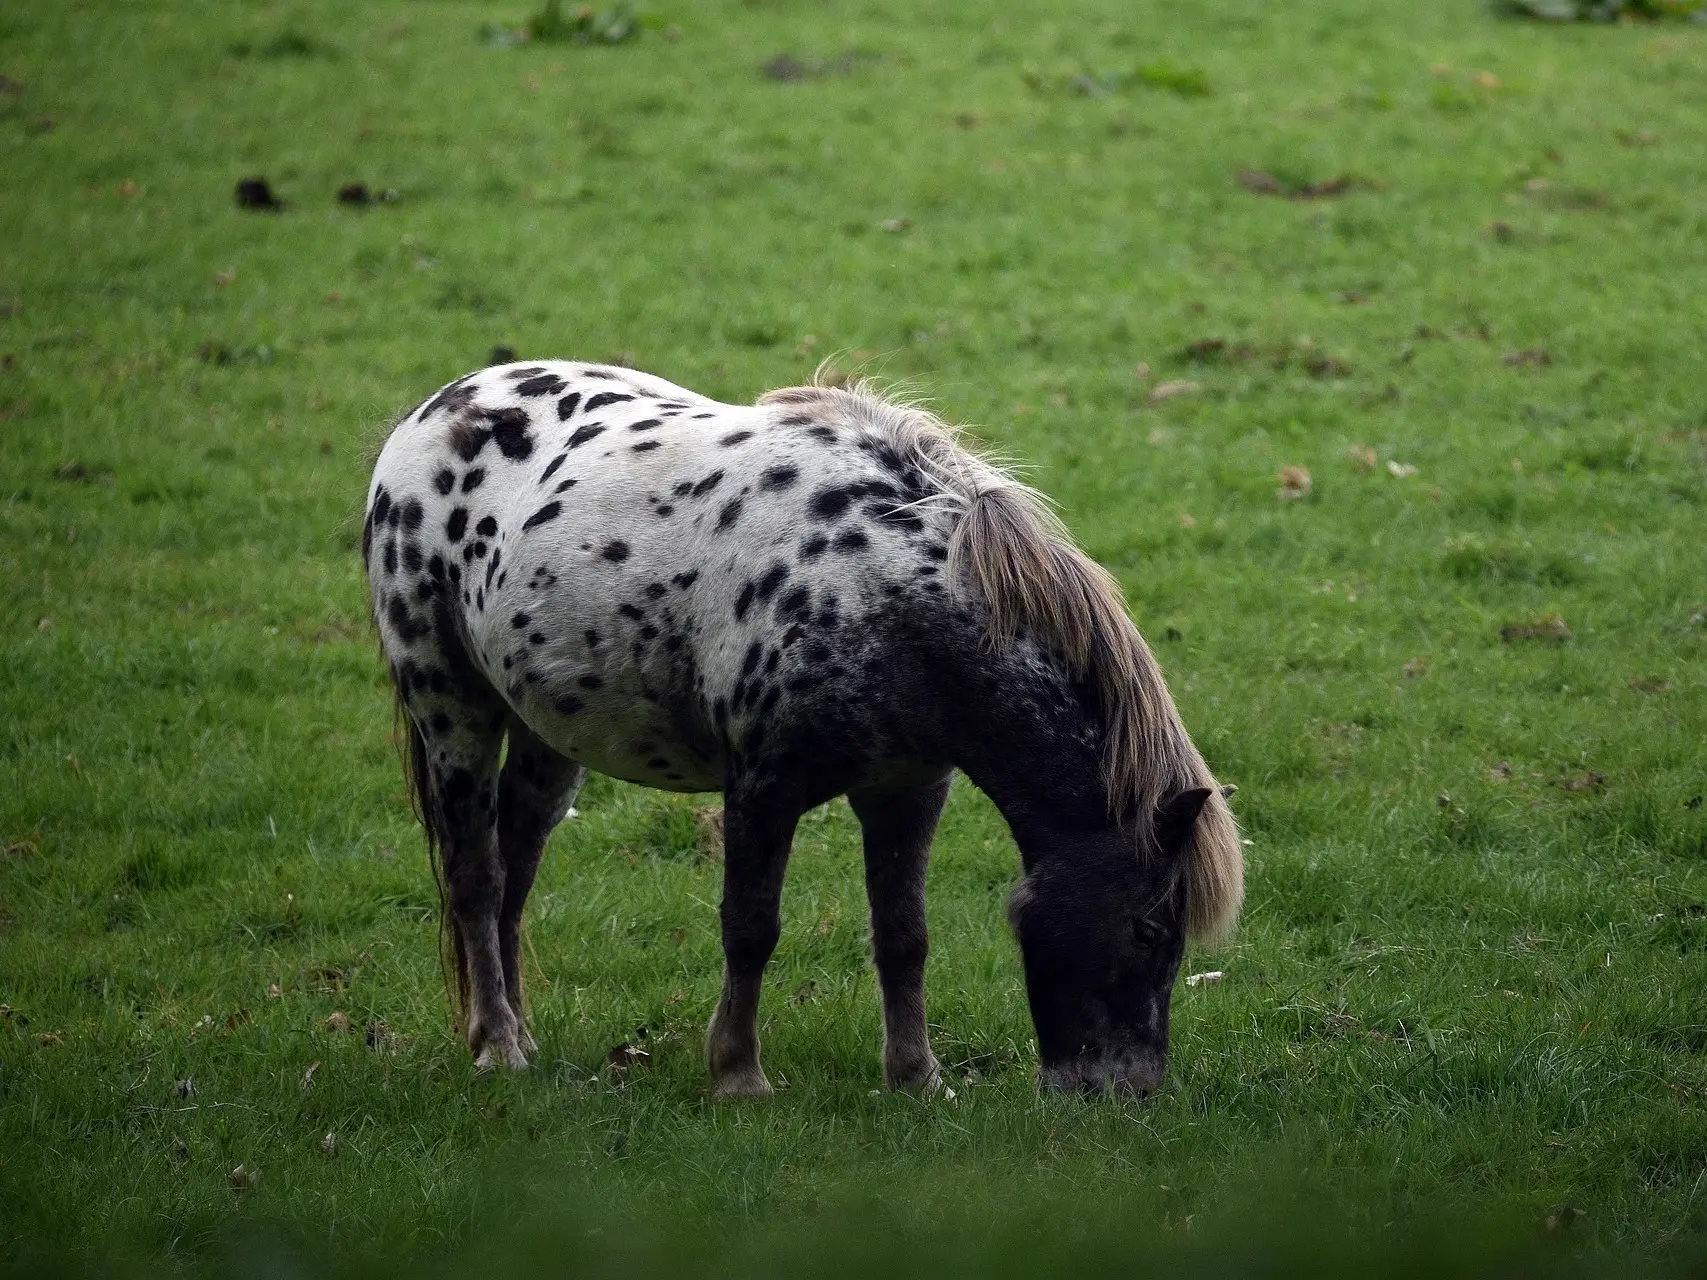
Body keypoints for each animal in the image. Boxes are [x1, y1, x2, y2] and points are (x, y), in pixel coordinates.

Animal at [363, 363, 1242, 1105]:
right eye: (1149, 928)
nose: (1128, 1091)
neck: (876, 588)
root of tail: (434, 411)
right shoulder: (762, 787)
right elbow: (750, 929)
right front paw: (737, 1075)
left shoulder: (907, 789)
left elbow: (903, 935)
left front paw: (916, 1077)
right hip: (453, 710)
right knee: (476, 879)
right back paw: (497, 1045)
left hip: (545, 733)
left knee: (516, 872)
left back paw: (517, 1030)